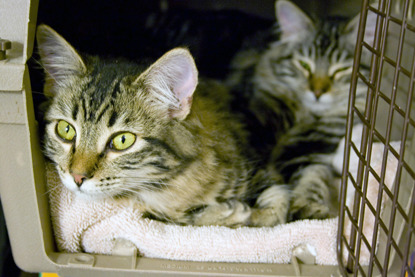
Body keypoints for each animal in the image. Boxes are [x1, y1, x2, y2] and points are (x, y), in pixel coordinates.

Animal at [228, 0, 376, 220]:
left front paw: (308, 206)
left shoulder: (308, 152)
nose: (317, 92)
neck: (302, 116)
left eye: (341, 70)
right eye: (304, 65)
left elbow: (313, 177)